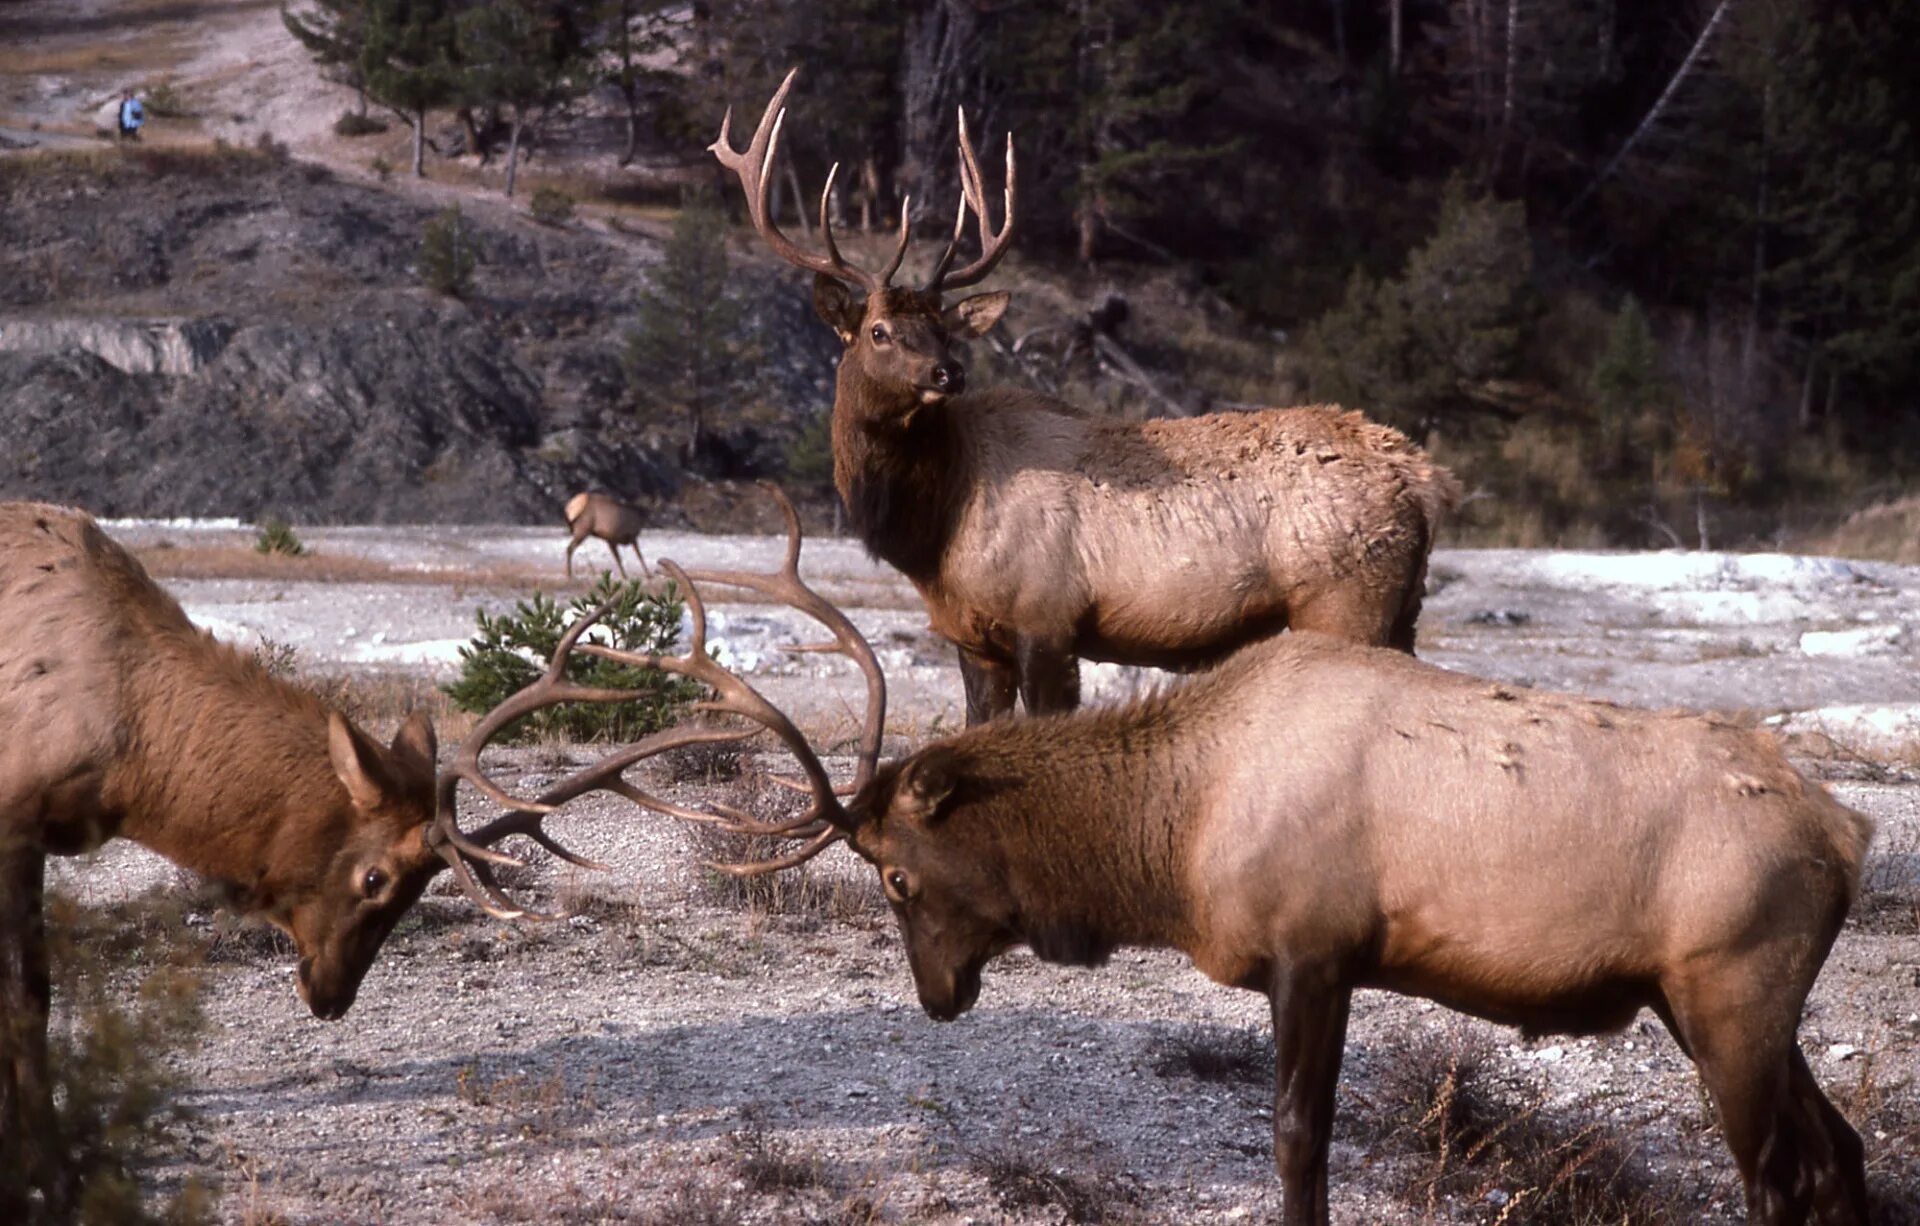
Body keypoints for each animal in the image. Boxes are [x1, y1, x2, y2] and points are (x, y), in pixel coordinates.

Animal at [439, 491, 1873, 1226]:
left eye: (897, 874)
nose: (937, 996)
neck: (1172, 845)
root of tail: (1849, 831)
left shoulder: (1315, 946)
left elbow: (1298, 1143)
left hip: (1730, 992)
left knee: (1781, 1172)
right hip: (1719, 1002)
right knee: (1843, 1153)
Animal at [714, 71, 1459, 725]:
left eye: (943, 329)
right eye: (879, 331)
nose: (948, 373)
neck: (934, 528)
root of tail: (1423, 479)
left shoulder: (1045, 616)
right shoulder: (973, 636)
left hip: (1346, 601)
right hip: (1401, 608)